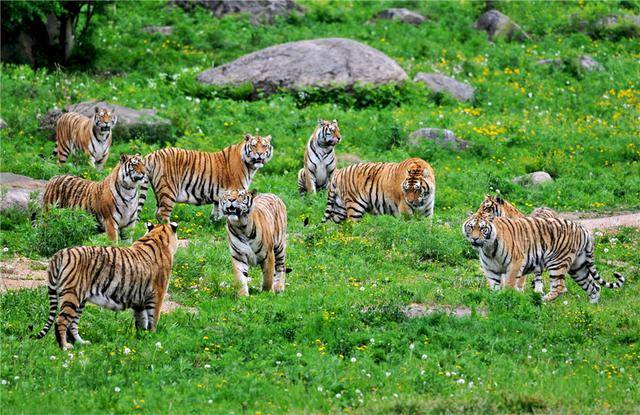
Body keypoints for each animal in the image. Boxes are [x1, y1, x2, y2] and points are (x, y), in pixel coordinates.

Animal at [34, 223, 179, 350]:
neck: (157, 236)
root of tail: (60, 253)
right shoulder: (157, 295)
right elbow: (153, 318)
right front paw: (152, 338)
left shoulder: (139, 302)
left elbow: (141, 320)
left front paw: (142, 337)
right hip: (72, 295)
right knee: (61, 321)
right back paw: (65, 347)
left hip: (80, 300)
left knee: (72, 324)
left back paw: (82, 343)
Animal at [138, 134, 272, 224]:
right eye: (253, 146)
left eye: (264, 146)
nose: (260, 154)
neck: (250, 166)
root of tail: (153, 154)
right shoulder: (235, 189)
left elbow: (218, 209)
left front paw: (215, 221)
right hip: (168, 190)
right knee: (162, 214)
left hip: (159, 193)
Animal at [462, 213, 624, 304]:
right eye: (470, 227)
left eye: (482, 228)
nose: (475, 239)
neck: (488, 248)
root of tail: (584, 229)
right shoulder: (490, 269)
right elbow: (494, 286)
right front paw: (496, 299)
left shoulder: (516, 263)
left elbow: (509, 284)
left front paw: (506, 297)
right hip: (578, 268)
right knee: (594, 286)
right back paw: (593, 306)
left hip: (557, 262)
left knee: (559, 287)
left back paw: (542, 300)